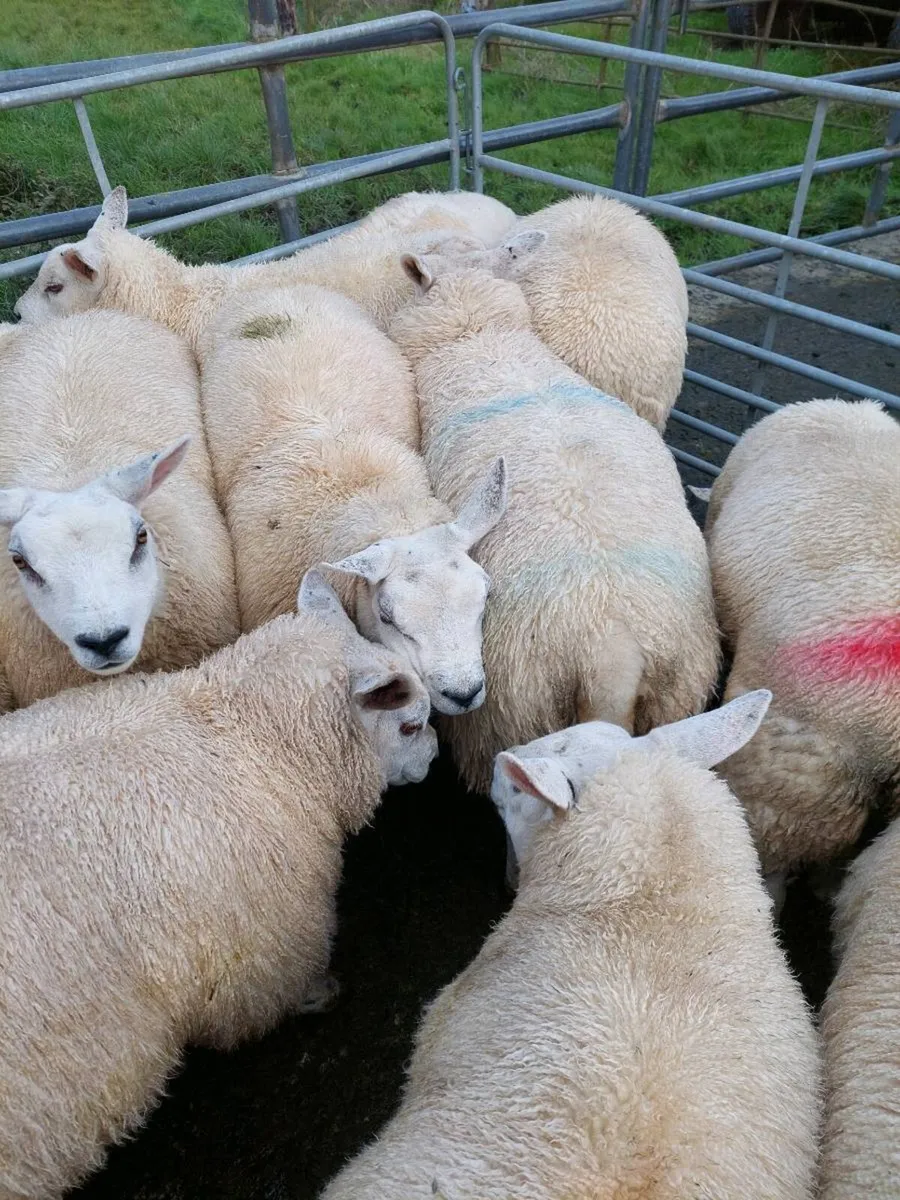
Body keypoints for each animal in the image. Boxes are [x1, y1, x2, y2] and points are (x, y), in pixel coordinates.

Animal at [0, 568, 437, 1200]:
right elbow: (278, 994)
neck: (252, 739)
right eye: (410, 724)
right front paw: (322, 993)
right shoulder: (263, 951)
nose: (433, 760)